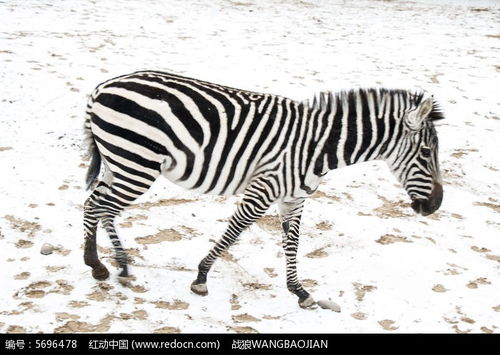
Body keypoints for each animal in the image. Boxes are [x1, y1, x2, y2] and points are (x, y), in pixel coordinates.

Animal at [83, 70, 446, 308]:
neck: (318, 147)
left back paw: (105, 264)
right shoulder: (262, 192)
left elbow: (292, 243)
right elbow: (232, 234)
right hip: (137, 163)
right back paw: (109, 265)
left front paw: (299, 291)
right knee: (102, 206)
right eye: (426, 153)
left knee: (94, 203)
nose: (435, 206)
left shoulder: (294, 199)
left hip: (121, 162)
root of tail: (103, 86)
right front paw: (201, 278)